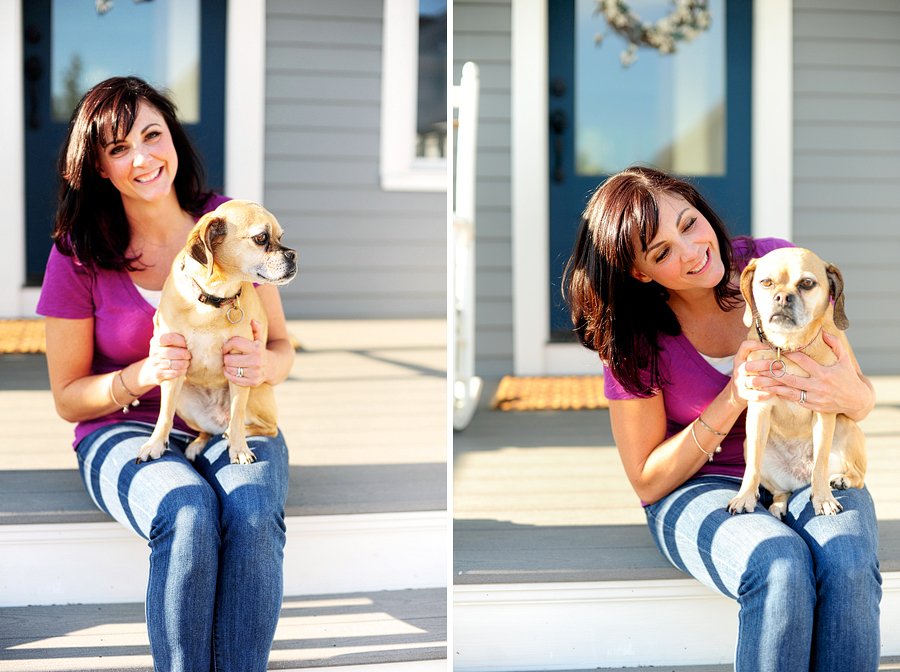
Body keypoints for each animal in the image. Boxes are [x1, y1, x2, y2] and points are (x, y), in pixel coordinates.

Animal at [137, 198, 298, 462]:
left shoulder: (240, 365)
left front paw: (239, 449)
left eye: (280, 237)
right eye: (261, 238)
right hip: (185, 399)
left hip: (255, 393)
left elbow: (237, 416)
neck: (214, 298)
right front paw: (155, 444)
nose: (293, 255)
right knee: (206, 430)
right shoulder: (173, 363)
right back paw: (198, 443)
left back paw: (234, 433)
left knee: (259, 426)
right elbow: (164, 415)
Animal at [728, 249, 868, 516]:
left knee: (856, 476)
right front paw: (745, 497)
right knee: (780, 491)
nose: (782, 297)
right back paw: (778, 506)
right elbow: (751, 470)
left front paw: (823, 499)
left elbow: (820, 463)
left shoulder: (825, 413)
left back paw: (841, 479)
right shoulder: (759, 410)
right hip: (748, 444)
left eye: (807, 283)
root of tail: (798, 479)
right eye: (766, 282)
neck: (788, 348)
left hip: (845, 426)